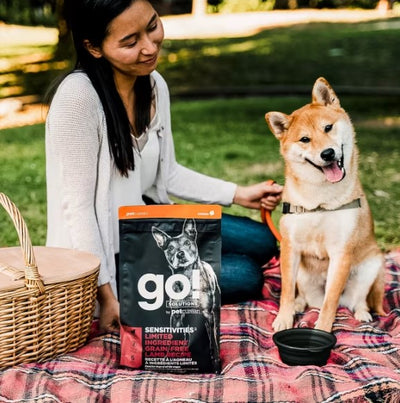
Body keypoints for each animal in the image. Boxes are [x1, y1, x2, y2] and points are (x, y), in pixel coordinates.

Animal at [152, 221, 220, 362]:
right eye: (170, 248)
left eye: (188, 243)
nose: (180, 254)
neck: (187, 277)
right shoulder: (177, 315)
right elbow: (173, 338)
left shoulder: (207, 313)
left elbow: (212, 338)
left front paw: (215, 358)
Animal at [266, 77, 384, 332]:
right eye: (305, 139)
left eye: (328, 128)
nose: (328, 153)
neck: (320, 200)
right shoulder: (290, 247)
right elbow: (286, 291)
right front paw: (284, 318)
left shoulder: (341, 252)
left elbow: (331, 301)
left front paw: (321, 329)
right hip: (302, 274)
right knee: (304, 297)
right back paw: (299, 305)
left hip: (372, 265)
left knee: (357, 299)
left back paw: (362, 313)